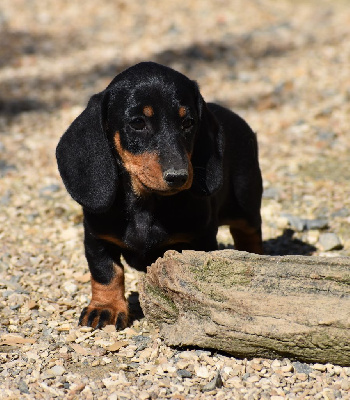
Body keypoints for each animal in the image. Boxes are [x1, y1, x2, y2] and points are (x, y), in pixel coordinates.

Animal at [55, 61, 262, 330]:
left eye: (188, 123)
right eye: (137, 123)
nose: (179, 176)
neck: (146, 203)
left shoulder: (201, 239)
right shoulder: (96, 238)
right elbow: (107, 273)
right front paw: (105, 308)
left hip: (247, 206)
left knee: (250, 234)